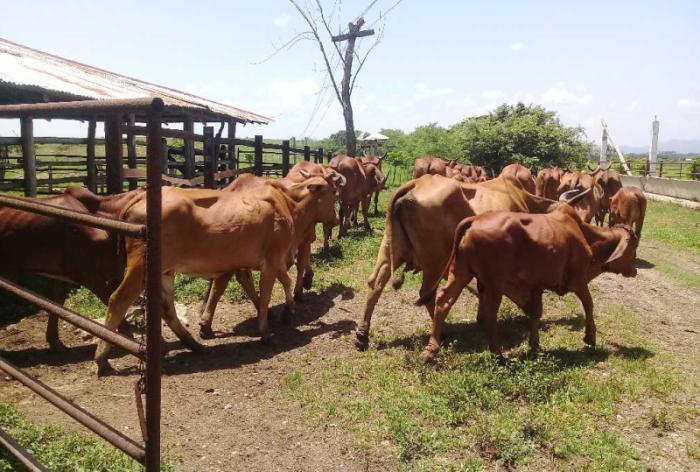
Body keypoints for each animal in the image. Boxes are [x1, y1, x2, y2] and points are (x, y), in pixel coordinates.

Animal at [0, 186, 142, 348]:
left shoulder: (65, 276)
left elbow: (57, 303)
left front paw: (54, 340)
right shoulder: (87, 274)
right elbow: (113, 301)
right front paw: (126, 339)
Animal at [96, 177, 340, 376]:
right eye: (332, 193)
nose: (336, 220)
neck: (288, 205)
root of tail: (140, 197)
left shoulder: (276, 260)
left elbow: (286, 281)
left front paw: (289, 310)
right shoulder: (271, 261)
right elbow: (266, 295)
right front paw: (264, 332)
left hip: (165, 271)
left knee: (166, 307)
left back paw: (193, 344)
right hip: (141, 266)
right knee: (118, 300)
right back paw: (101, 358)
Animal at [352, 173, 588, 350]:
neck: (523, 200)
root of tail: (416, 183)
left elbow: (483, 289)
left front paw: (481, 317)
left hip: (389, 250)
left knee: (375, 284)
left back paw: (362, 335)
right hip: (435, 261)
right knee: (428, 293)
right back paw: (443, 333)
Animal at [418, 203, 636, 362]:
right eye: (633, 246)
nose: (634, 270)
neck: (584, 235)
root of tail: (475, 219)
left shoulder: (536, 286)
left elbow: (536, 313)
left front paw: (535, 346)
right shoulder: (578, 281)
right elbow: (589, 305)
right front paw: (590, 337)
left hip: (461, 273)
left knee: (443, 301)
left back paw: (431, 350)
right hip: (494, 284)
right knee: (488, 316)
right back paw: (498, 354)